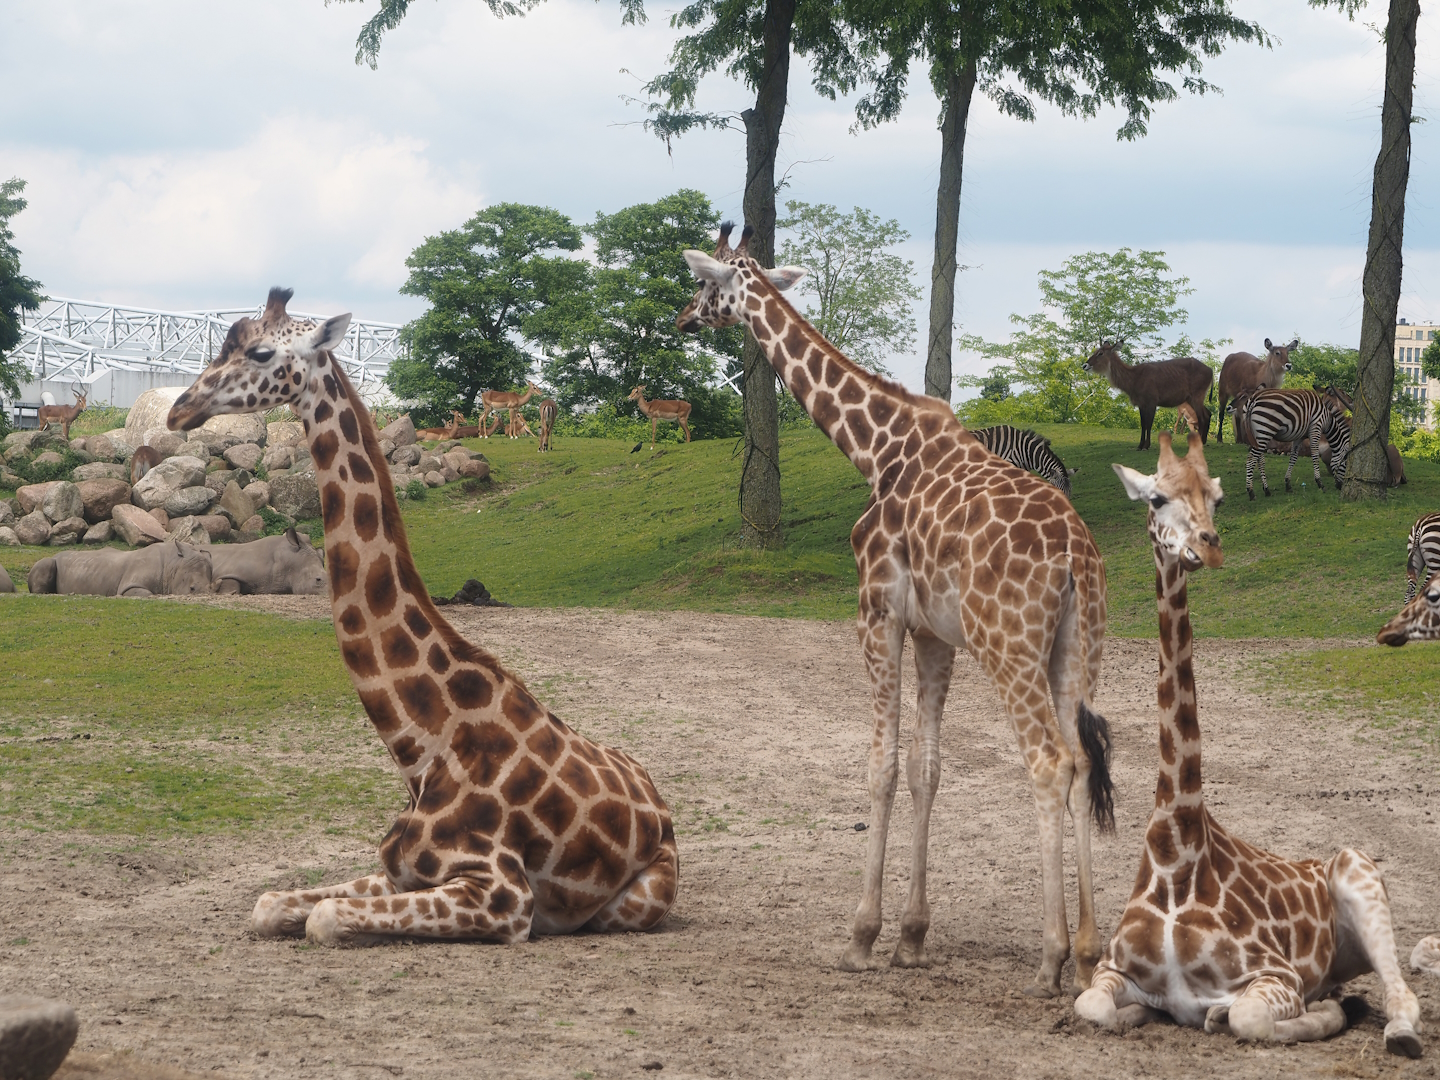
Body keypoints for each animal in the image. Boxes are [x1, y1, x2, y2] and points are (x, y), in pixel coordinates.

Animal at [166, 288, 678, 945]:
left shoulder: (505, 897)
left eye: (260, 352)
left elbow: (324, 920)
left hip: (632, 902)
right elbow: (269, 904)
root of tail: (661, 804)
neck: (421, 749)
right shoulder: (397, 870)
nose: (179, 410)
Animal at [678, 225, 1113, 997]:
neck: (873, 448)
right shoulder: (935, 634)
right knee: (1085, 764)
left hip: (1008, 644)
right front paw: (912, 937)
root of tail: (1074, 557)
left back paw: (1051, 958)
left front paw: (861, 936)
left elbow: (880, 766)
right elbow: (926, 769)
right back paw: (1091, 958)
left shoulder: (875, 609)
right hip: (1074, 648)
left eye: (705, 282)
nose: (682, 321)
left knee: (1048, 762)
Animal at [1074, 430, 1423, 1056]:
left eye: (1217, 497)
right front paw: (1136, 1015)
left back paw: (1387, 1025)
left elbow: (1248, 1018)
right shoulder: (1113, 969)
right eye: (1157, 498)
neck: (1175, 854)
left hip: (1358, 871)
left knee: (1400, 995)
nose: (1207, 548)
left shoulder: (1275, 975)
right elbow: (1090, 1004)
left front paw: (1304, 1015)